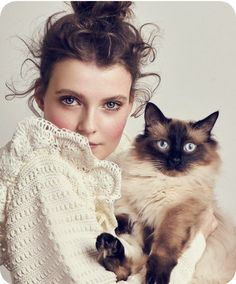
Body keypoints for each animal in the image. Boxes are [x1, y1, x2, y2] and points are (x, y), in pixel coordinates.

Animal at [96, 102, 236, 284]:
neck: (161, 182)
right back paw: (107, 244)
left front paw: (156, 277)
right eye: (163, 145)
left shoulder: (176, 214)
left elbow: (162, 248)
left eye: (189, 147)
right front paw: (117, 225)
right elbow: (123, 216)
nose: (175, 160)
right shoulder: (137, 209)